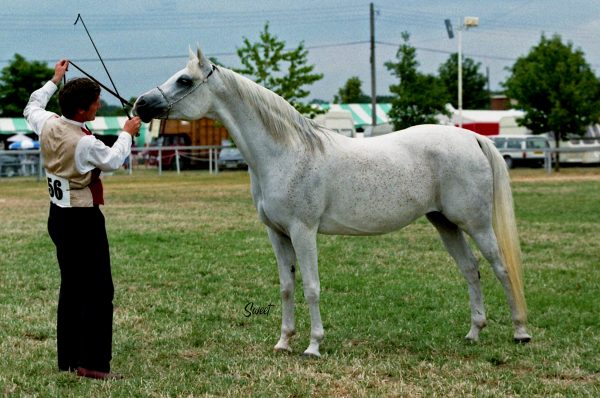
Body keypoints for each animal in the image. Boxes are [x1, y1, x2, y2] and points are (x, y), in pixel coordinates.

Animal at [134, 47, 532, 358]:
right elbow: (287, 286)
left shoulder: (303, 231)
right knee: (470, 270)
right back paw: (474, 333)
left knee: (500, 268)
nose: (140, 104)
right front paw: (284, 342)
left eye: (185, 80)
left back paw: (520, 332)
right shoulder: (277, 234)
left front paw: (313, 346)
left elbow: (311, 287)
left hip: (476, 223)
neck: (285, 152)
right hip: (445, 223)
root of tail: (471, 139)